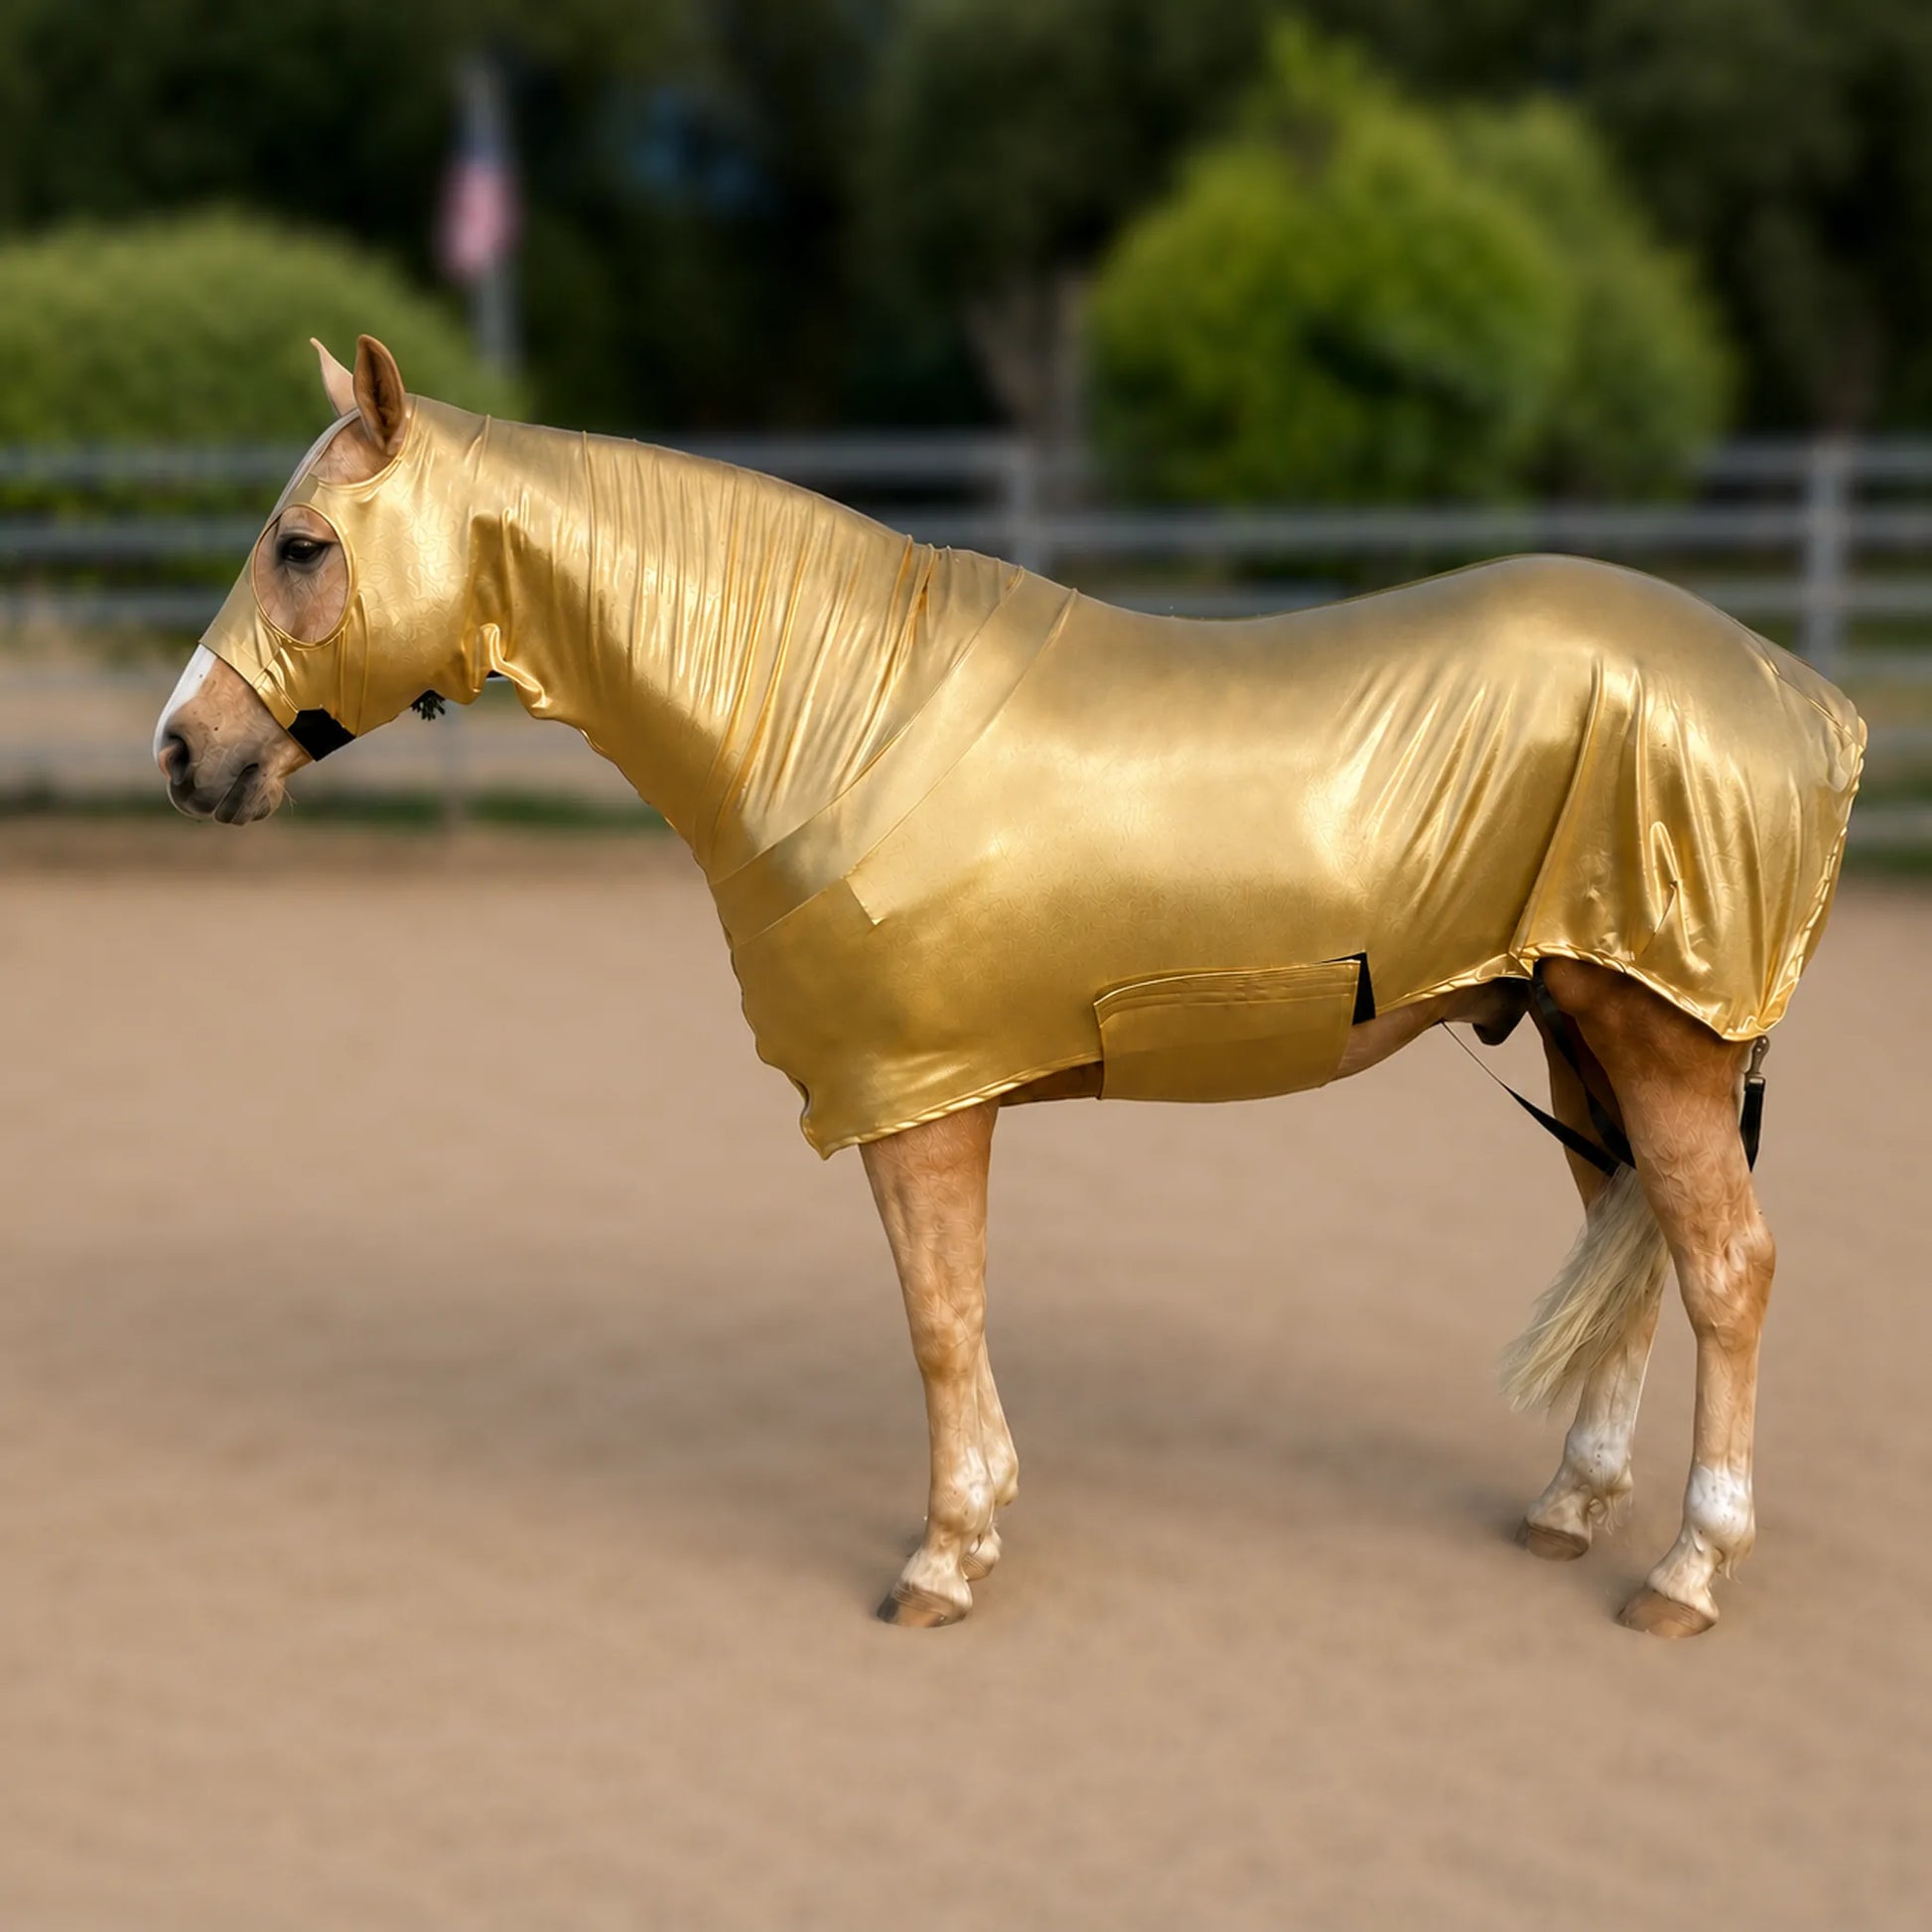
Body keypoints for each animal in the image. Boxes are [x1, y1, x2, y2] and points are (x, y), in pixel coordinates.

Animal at [155, 334, 1863, 1639]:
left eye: (301, 545)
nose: (184, 751)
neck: (830, 716)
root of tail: (1805, 702)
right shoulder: (921, 1098)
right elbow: (952, 1312)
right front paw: (973, 1525)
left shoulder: (924, 1102)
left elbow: (937, 1316)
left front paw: (938, 1557)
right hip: (1582, 1034)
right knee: (1628, 1255)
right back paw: (1569, 1507)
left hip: (1659, 1039)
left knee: (1726, 1270)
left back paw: (1685, 1571)